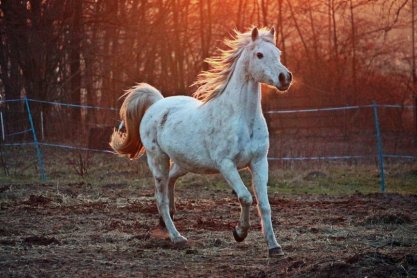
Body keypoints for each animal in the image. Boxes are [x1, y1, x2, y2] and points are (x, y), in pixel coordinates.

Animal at [110, 27, 292, 258]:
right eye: (259, 54)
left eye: (278, 53)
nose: (285, 78)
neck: (241, 118)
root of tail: (157, 104)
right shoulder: (226, 165)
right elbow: (245, 197)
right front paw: (239, 233)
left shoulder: (259, 162)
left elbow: (265, 205)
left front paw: (274, 247)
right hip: (158, 160)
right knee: (161, 198)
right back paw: (177, 237)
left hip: (184, 163)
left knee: (170, 183)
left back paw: (166, 221)